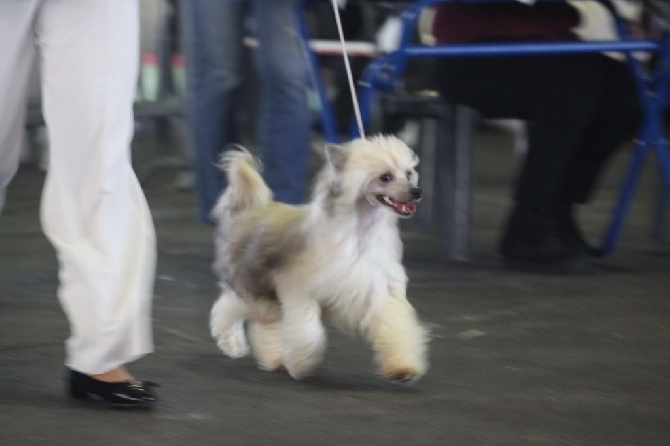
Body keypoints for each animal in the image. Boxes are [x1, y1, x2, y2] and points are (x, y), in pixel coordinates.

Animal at [210, 135, 430, 384]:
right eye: (385, 177)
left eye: (408, 173)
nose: (416, 192)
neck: (359, 233)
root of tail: (252, 209)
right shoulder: (300, 289)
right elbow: (306, 329)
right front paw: (302, 365)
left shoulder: (382, 290)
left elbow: (395, 324)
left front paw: (404, 368)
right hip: (256, 285)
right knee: (252, 317)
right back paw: (250, 349)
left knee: (238, 308)